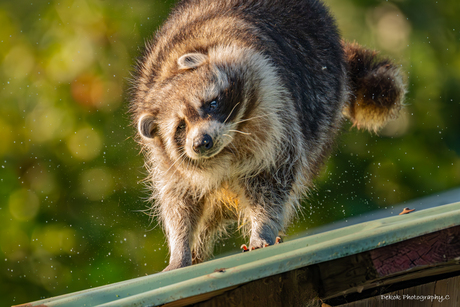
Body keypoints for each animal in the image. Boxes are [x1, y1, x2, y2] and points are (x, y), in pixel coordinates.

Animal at [128, 0, 402, 272]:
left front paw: (263, 228)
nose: (202, 143)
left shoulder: (275, 106)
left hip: (325, 89)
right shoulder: (166, 159)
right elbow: (179, 200)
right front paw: (181, 246)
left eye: (211, 103)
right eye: (180, 127)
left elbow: (271, 176)